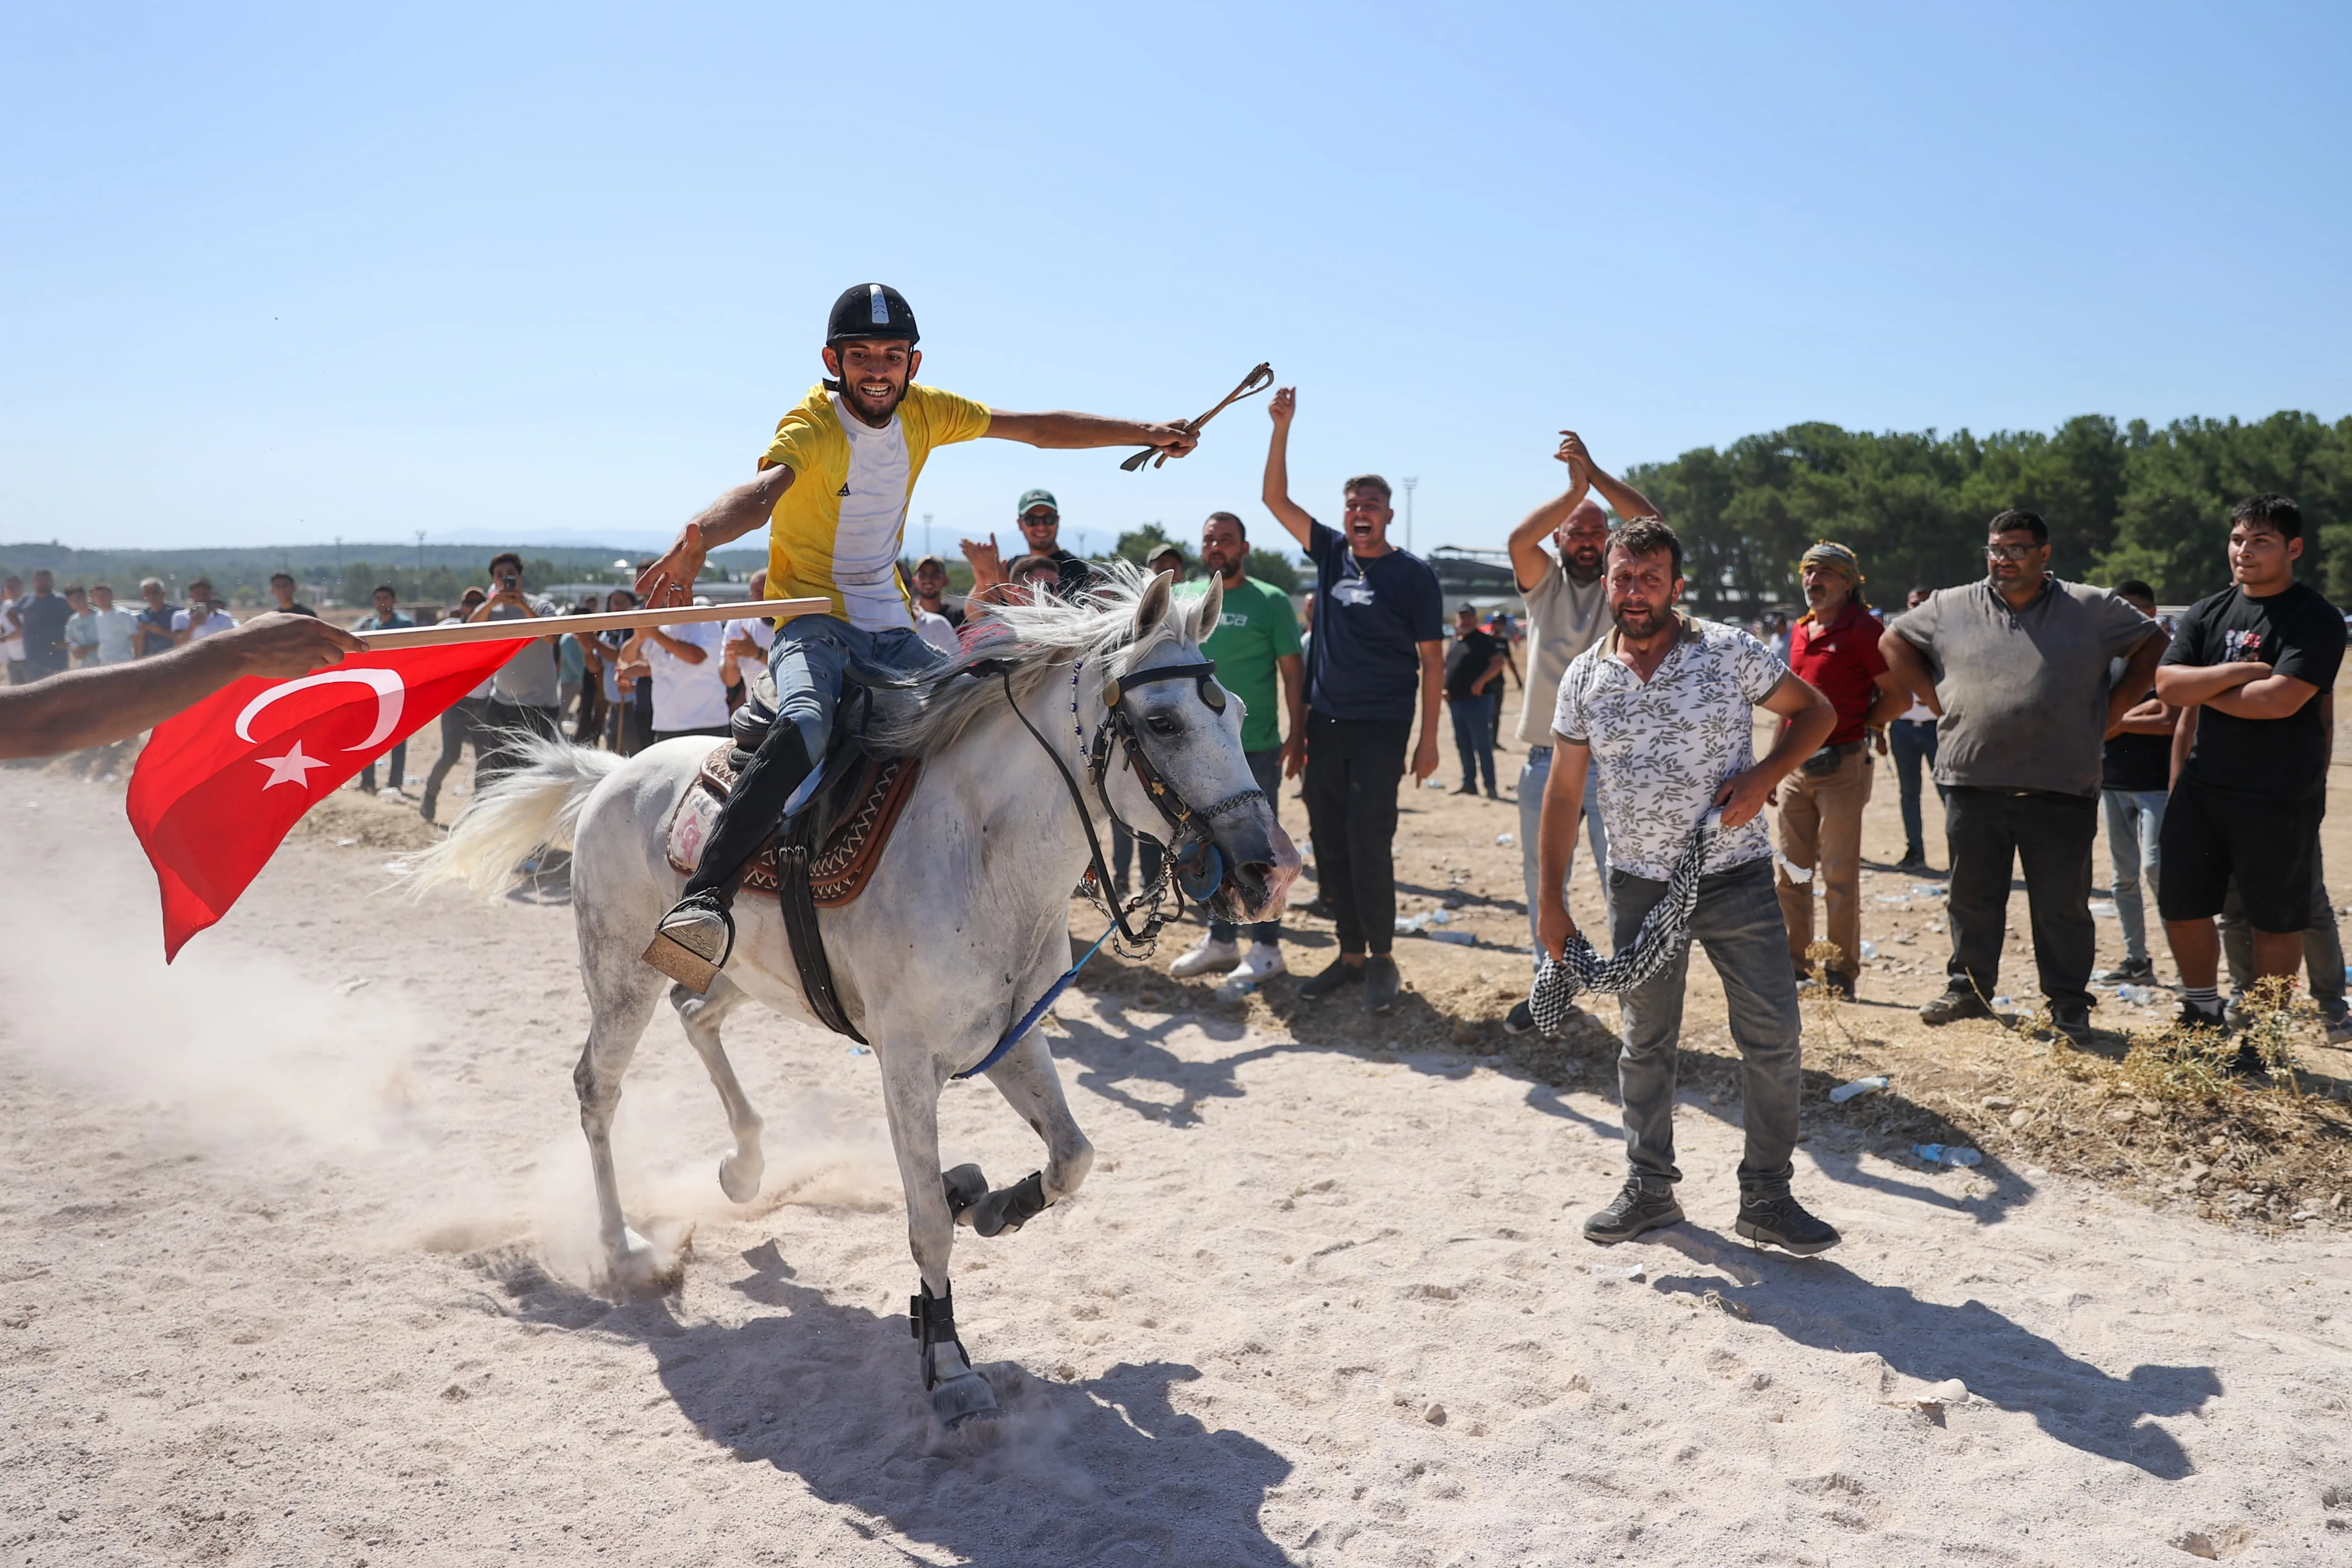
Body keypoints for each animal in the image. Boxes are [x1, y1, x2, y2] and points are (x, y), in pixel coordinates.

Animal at [400, 571, 1289, 1429]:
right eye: (1163, 722)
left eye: (1242, 711)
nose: (1269, 869)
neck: (979, 853)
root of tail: (613, 770)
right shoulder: (907, 1064)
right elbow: (926, 1222)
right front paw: (949, 1363)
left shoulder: (1013, 1039)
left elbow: (1071, 1157)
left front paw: (989, 1202)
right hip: (622, 976)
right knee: (598, 1088)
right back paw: (622, 1247)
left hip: (733, 973)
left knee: (698, 1022)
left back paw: (745, 1167)